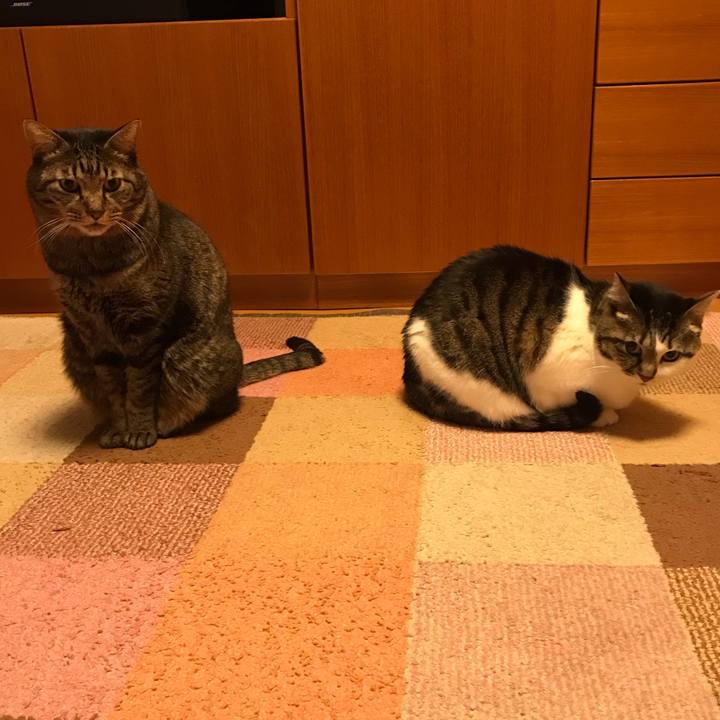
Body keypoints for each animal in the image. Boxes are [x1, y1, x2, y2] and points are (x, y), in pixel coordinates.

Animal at [24, 119, 324, 450]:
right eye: (69, 185)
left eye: (112, 185)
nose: (94, 211)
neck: (93, 265)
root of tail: (236, 377)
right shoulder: (92, 334)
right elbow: (114, 390)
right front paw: (118, 428)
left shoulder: (144, 331)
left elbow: (140, 389)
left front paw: (140, 431)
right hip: (73, 346)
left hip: (187, 358)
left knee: (216, 403)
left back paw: (170, 424)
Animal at [403, 245, 716, 430]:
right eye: (632, 347)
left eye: (671, 355)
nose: (647, 375)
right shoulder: (547, 381)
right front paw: (605, 415)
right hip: (481, 387)